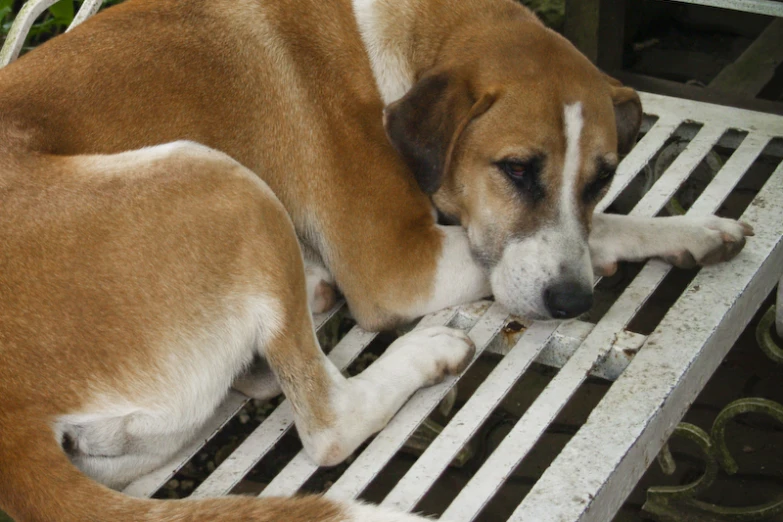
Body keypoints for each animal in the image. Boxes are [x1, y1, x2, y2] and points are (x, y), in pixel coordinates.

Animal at [0, 0, 752, 516]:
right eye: (516, 170)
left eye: (601, 177)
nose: (573, 303)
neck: (388, 33)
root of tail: (14, 416)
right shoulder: (399, 263)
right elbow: (587, 238)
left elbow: (599, 226)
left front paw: (688, 229)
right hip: (226, 184)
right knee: (328, 426)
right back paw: (423, 353)